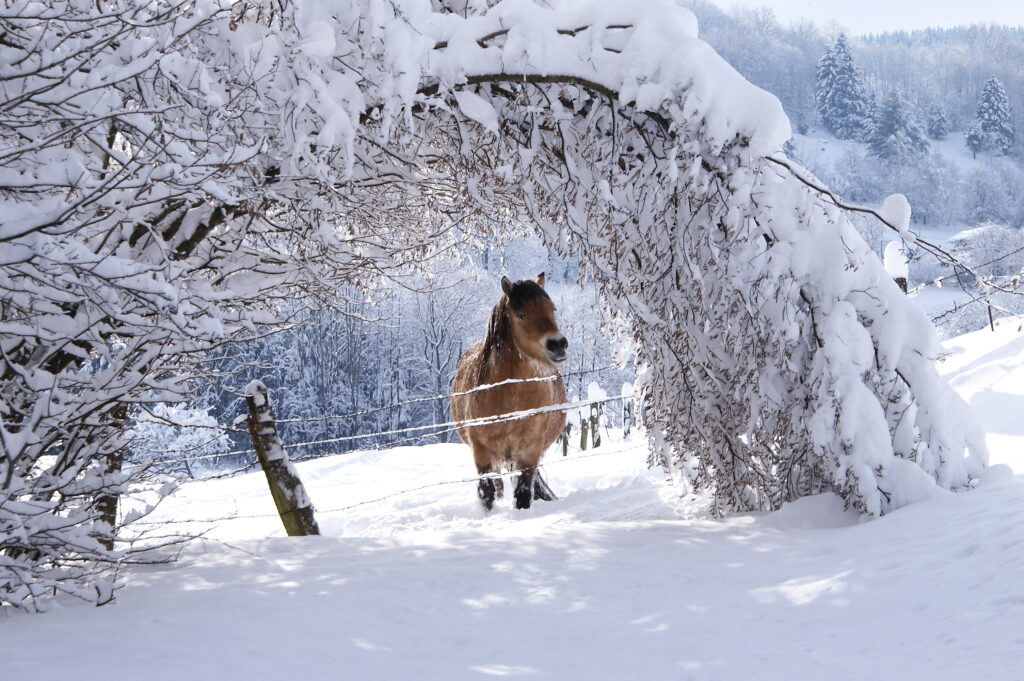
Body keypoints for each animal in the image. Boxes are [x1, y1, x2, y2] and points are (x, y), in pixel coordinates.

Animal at [454, 272, 573, 509]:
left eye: (552, 308)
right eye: (521, 315)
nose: (557, 345)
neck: (509, 396)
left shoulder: (529, 451)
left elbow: (524, 493)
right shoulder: (482, 451)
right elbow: (487, 492)